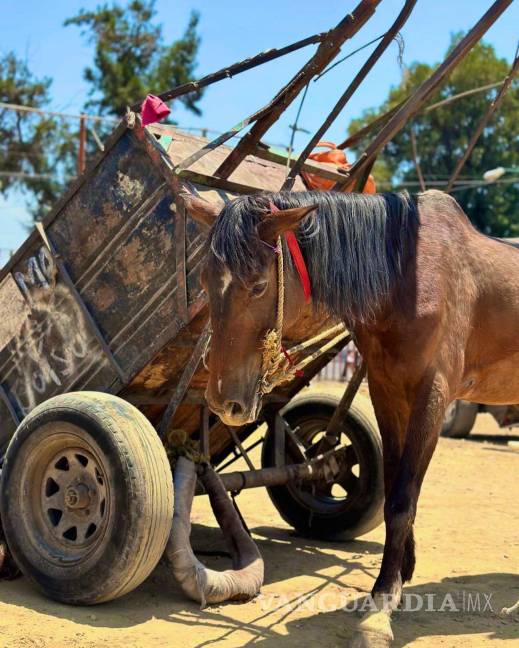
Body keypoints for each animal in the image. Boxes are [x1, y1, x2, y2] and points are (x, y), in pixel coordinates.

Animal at [184, 187, 519, 636]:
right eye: (204, 280)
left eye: (257, 286)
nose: (224, 401)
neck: (408, 276)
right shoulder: (385, 389)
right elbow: (395, 485)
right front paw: (400, 573)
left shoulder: (433, 395)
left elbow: (402, 498)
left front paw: (381, 603)